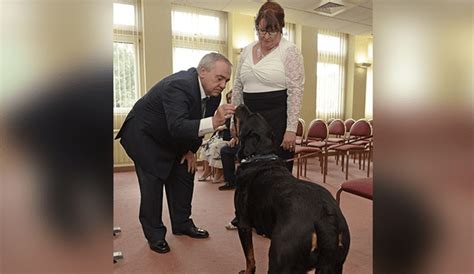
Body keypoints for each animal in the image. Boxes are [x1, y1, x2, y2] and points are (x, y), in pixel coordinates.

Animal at [234, 105, 352, 274]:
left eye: (248, 116)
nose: (241, 105)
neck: (261, 157)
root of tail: (325, 217)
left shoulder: (243, 222)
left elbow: (250, 258)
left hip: (280, 258)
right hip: (336, 263)